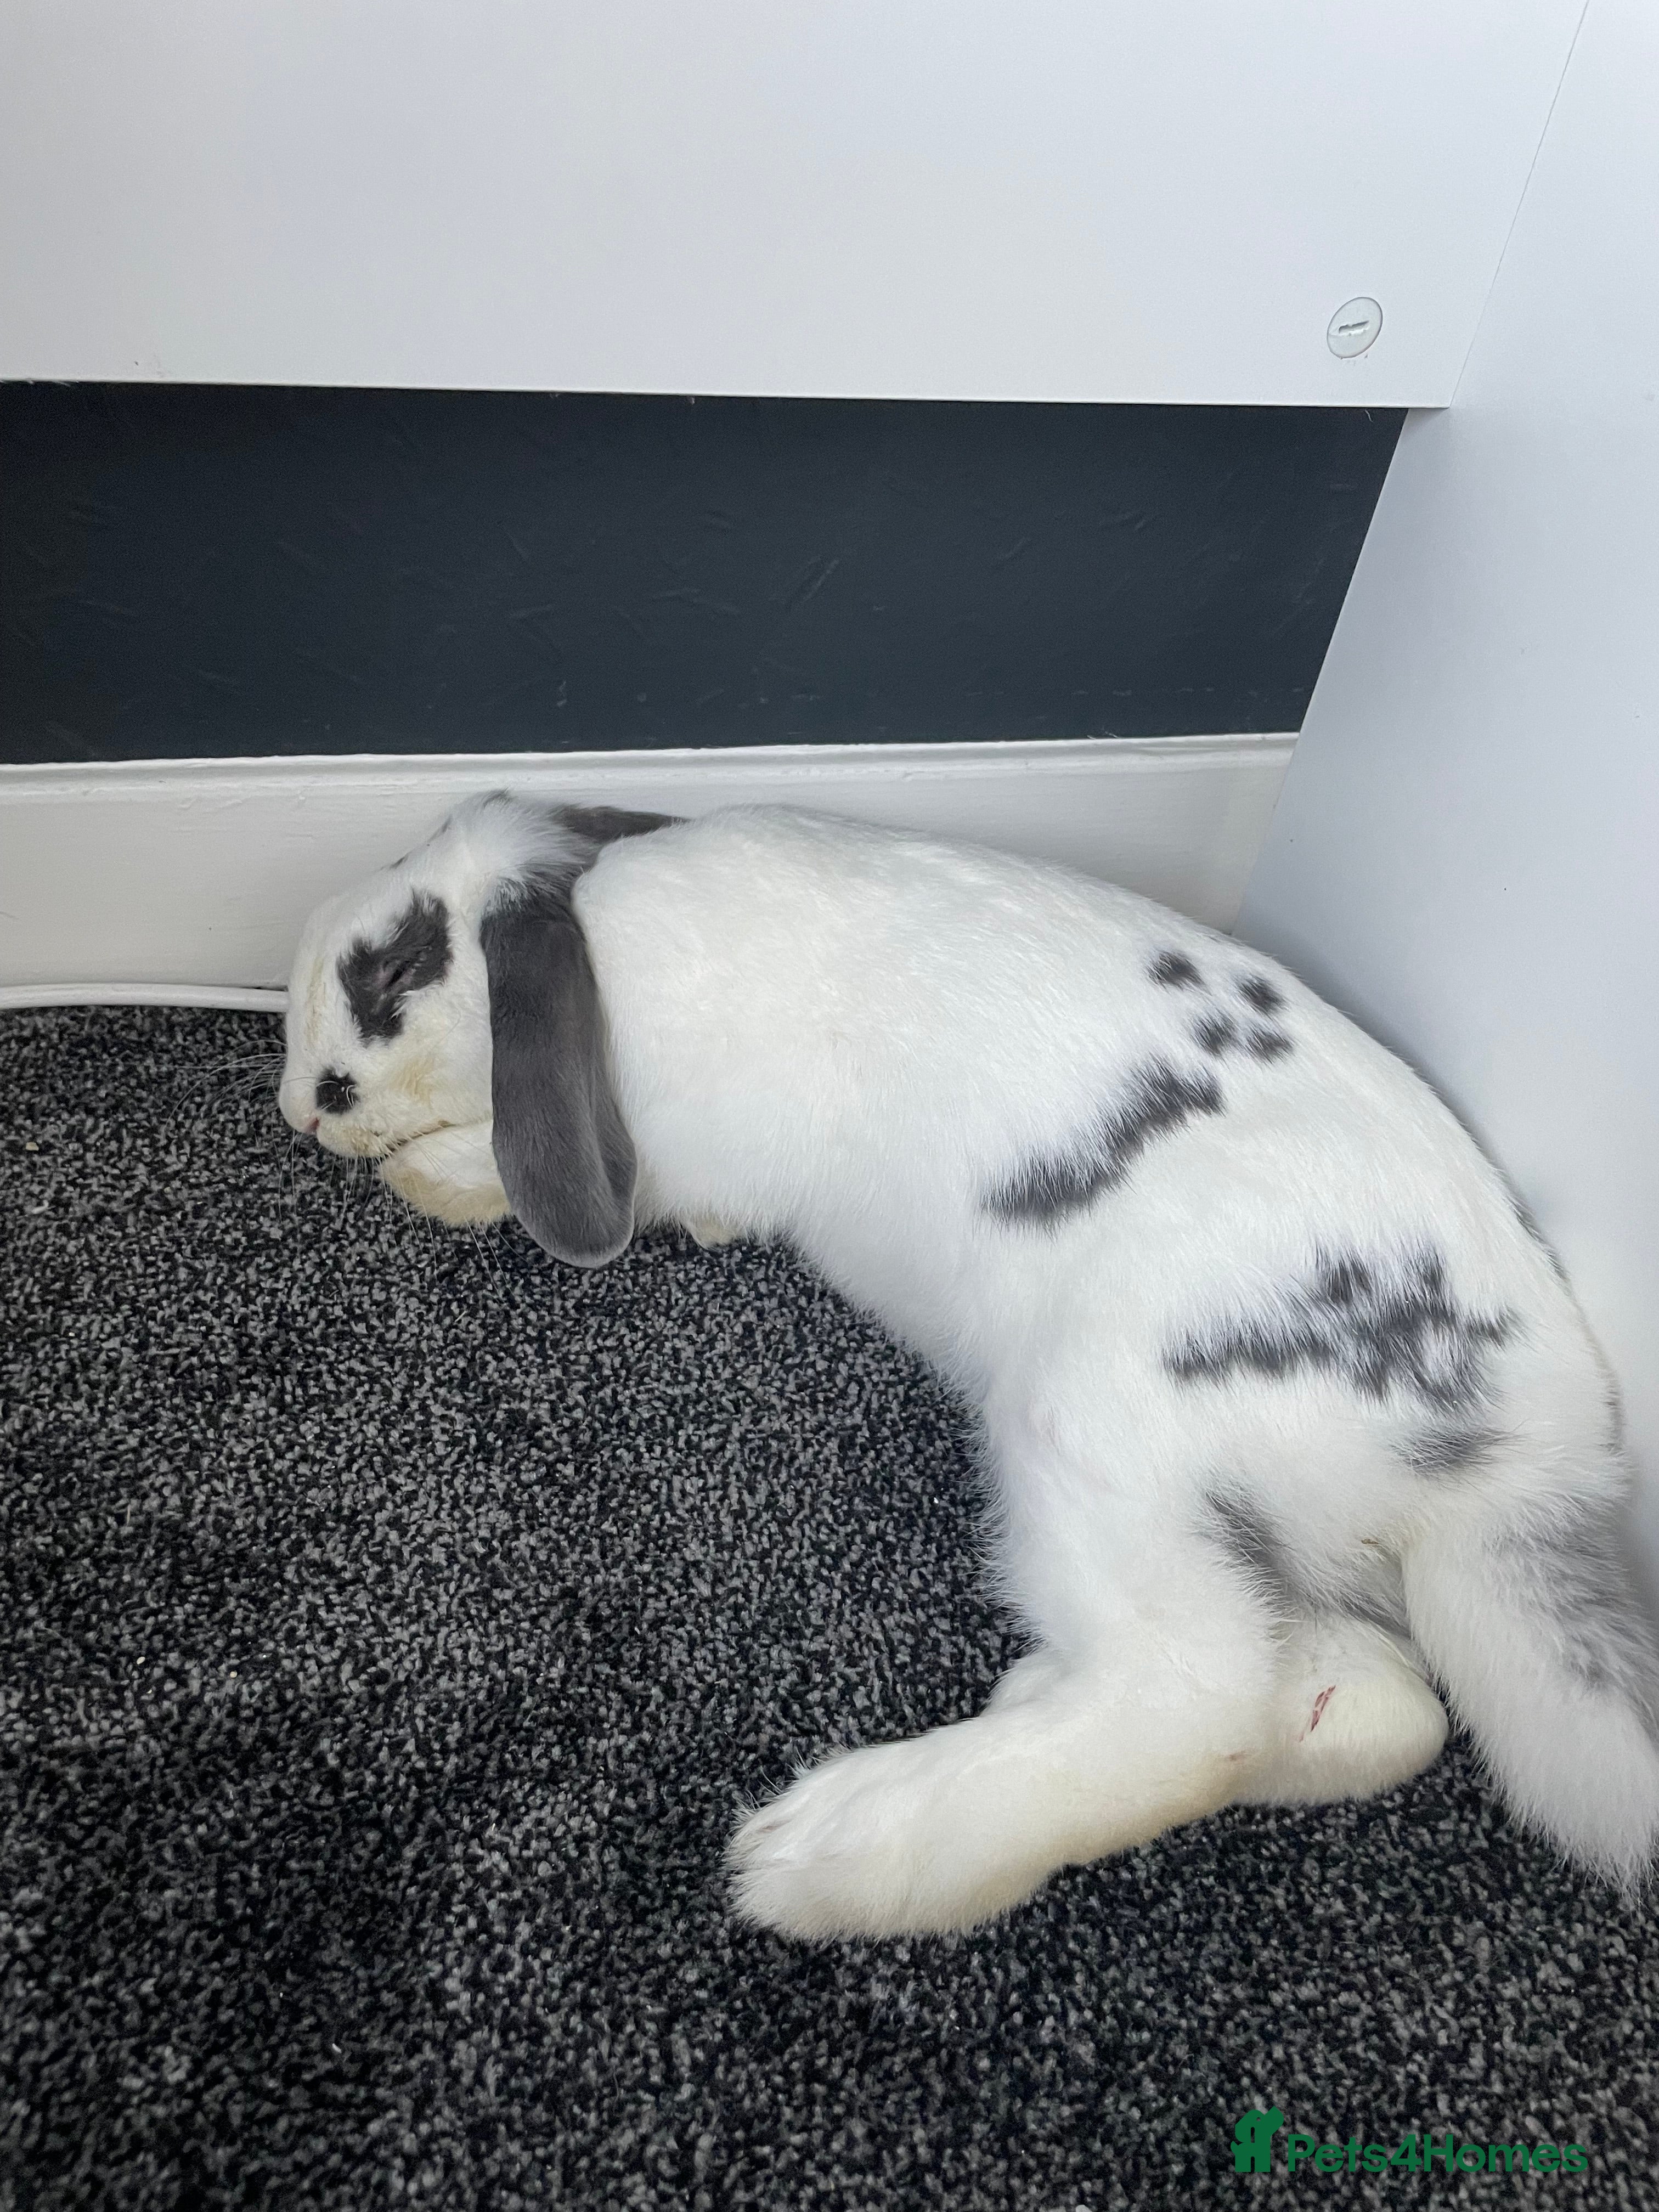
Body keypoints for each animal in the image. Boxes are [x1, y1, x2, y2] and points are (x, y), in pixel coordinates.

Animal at [279, 792, 1659, 1940]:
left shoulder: (676, 1150)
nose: (300, 1106)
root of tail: (1529, 1467)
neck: (599, 937)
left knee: (1192, 1702)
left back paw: (839, 1853)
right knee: (1379, 1708)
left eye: (390, 968)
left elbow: (581, 1179)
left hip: (1096, 1436)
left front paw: (434, 1175)